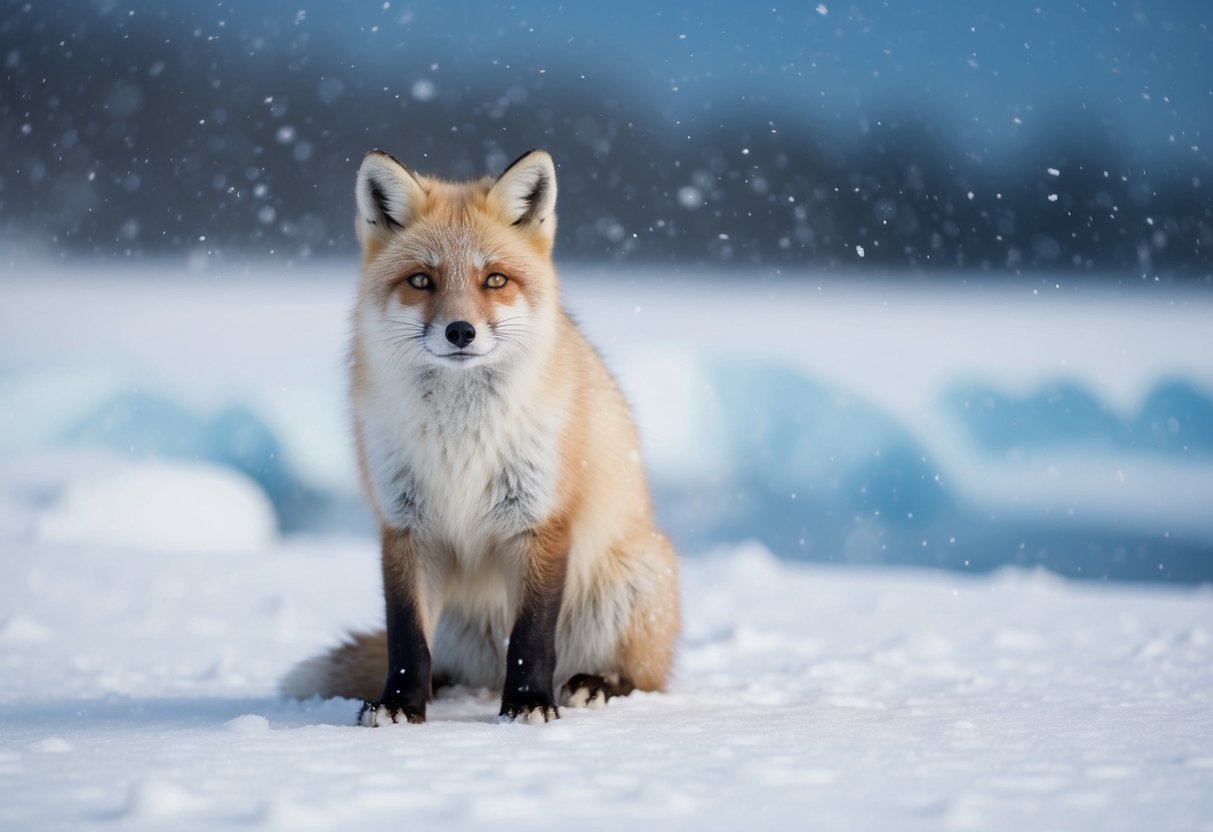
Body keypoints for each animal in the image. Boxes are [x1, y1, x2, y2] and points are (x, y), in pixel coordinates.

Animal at [280, 149, 680, 724]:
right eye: (421, 281)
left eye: (494, 280)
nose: (461, 332)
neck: (459, 436)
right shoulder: (405, 525)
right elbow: (406, 639)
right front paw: (400, 706)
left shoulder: (539, 520)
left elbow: (531, 637)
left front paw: (529, 705)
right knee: (444, 665)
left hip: (630, 584)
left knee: (643, 678)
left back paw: (595, 683)